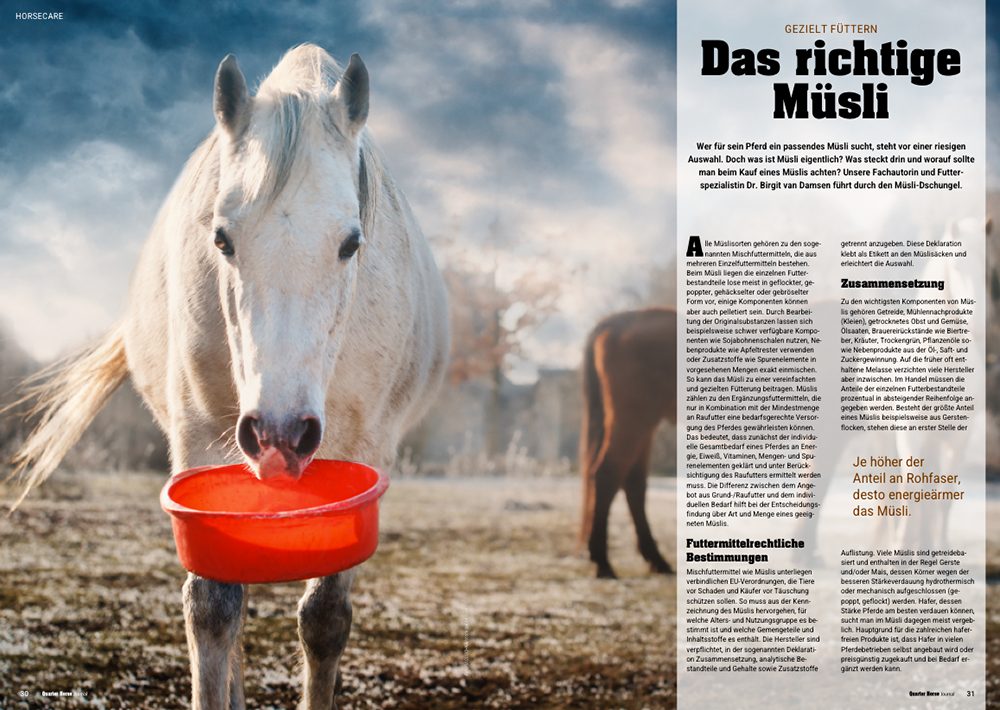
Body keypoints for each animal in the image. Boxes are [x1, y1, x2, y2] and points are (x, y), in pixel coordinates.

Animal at [8, 44, 449, 710]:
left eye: (351, 243)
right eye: (222, 239)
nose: (280, 435)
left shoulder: (366, 448)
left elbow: (325, 617)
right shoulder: (199, 436)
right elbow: (213, 606)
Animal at [579, 307, 675, 579]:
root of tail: (619, 320)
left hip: (643, 425)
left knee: (632, 482)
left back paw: (657, 560)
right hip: (634, 420)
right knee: (608, 475)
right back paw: (603, 562)